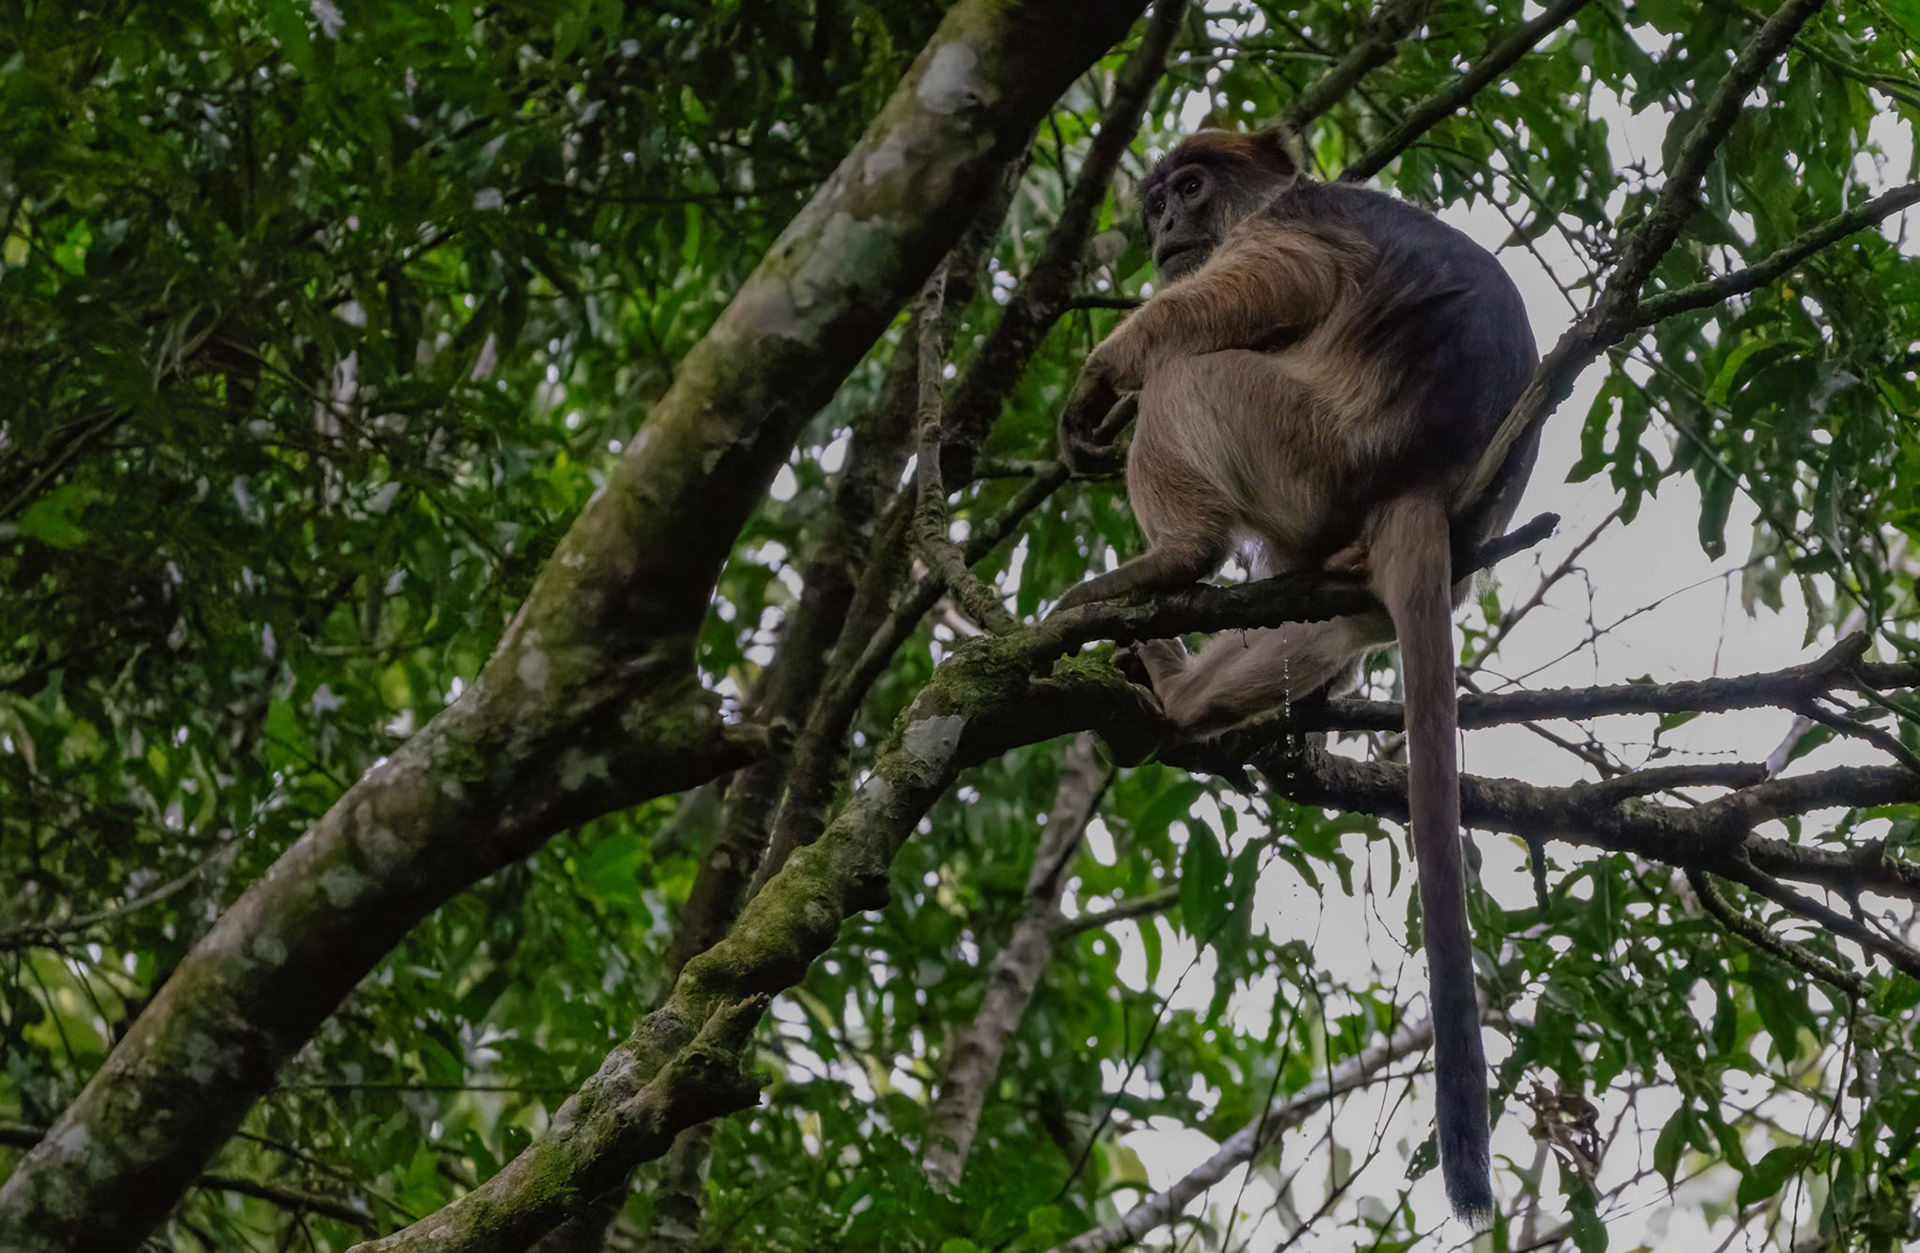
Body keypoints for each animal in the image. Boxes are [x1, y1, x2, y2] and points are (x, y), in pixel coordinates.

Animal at [1052, 128, 1540, 1224]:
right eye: (1155, 202)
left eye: (1189, 188)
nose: (1164, 222)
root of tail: (1424, 489)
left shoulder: (1295, 225)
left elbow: (1233, 303)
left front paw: (1096, 380)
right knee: (1315, 619)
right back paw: (1184, 694)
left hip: (1295, 440)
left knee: (1189, 379)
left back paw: (1169, 563)